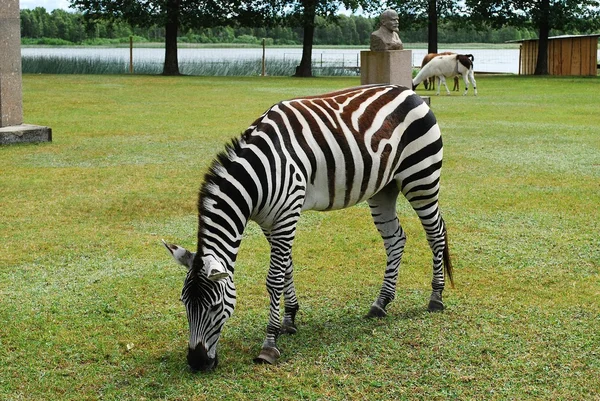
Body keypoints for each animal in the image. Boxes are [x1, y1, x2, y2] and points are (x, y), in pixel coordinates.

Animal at [162, 84, 452, 372]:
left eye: (215, 306)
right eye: (184, 303)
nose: (196, 363)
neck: (260, 174)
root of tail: (409, 92)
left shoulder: (287, 214)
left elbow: (274, 279)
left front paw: (269, 343)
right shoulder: (270, 222)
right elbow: (287, 269)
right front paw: (289, 319)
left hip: (421, 177)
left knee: (436, 233)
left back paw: (436, 297)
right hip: (385, 187)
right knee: (395, 239)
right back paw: (380, 303)